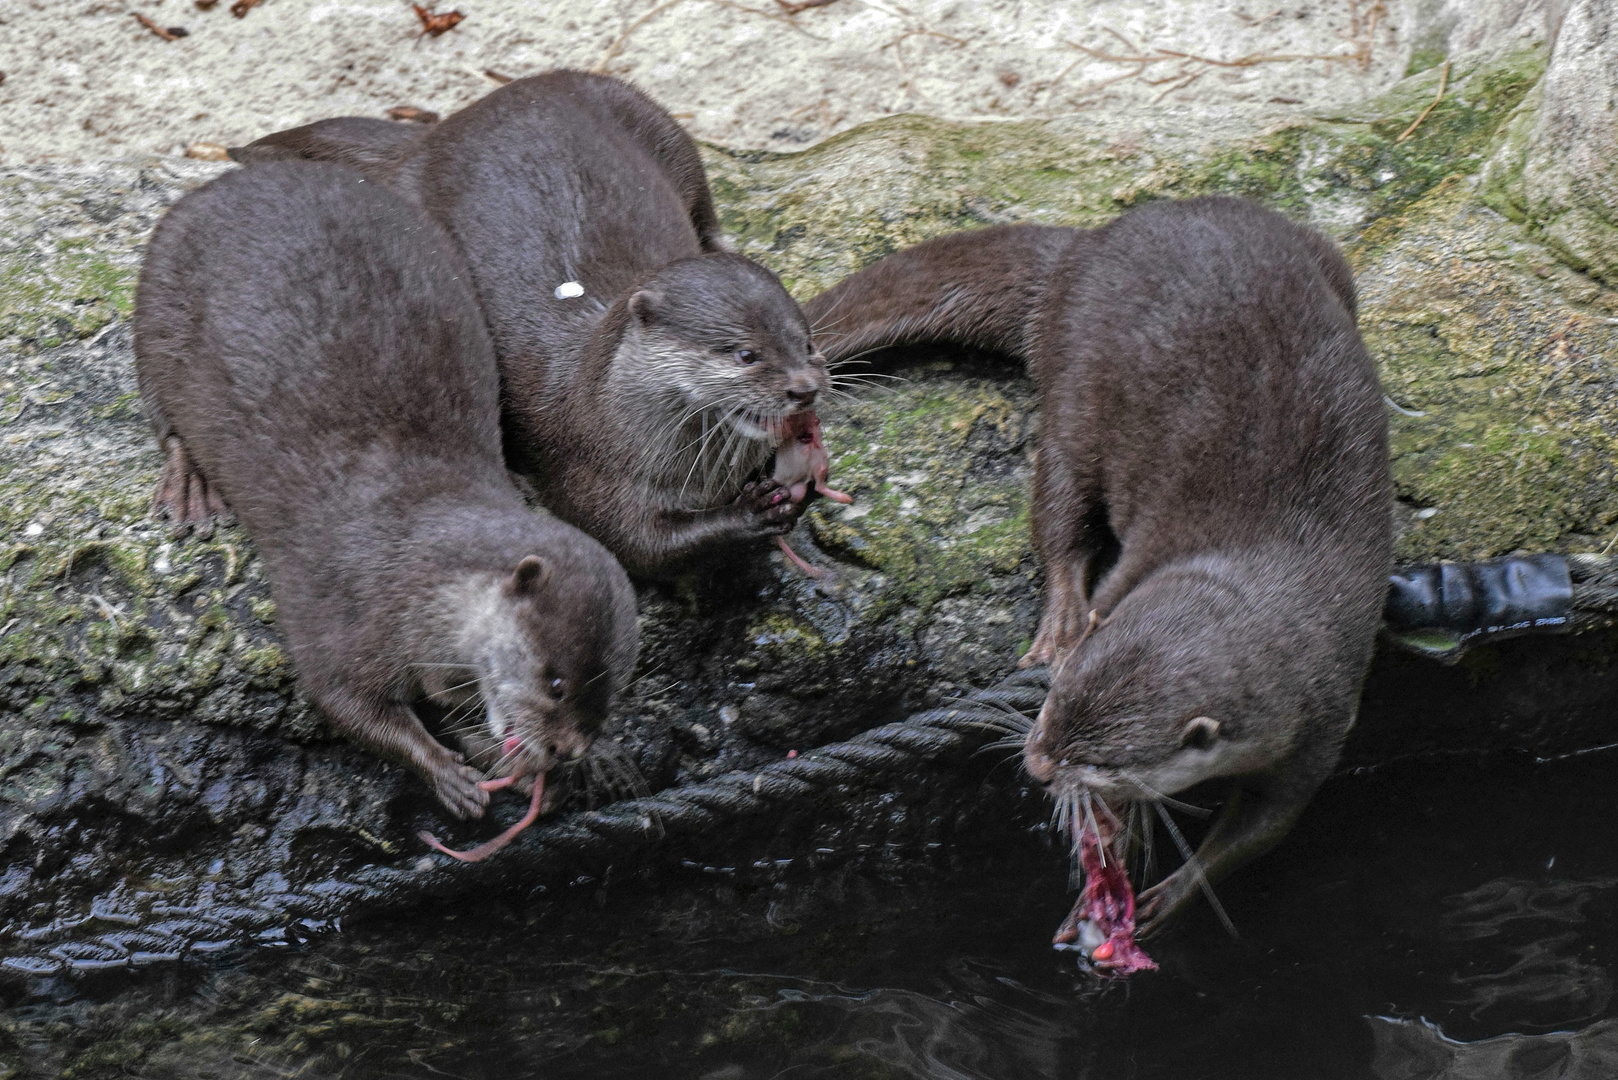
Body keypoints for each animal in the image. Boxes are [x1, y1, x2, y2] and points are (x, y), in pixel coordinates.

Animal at [134, 160, 637, 819]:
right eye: (555, 681)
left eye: (612, 689)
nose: (569, 750)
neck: (415, 572)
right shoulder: (345, 607)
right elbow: (341, 699)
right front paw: (444, 772)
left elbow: (452, 703)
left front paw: (536, 762)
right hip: (157, 309)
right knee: (163, 412)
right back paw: (190, 488)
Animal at [231, 71, 834, 579]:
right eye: (745, 355)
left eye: (806, 343)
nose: (804, 388)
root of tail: (434, 133)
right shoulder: (594, 475)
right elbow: (639, 547)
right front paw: (754, 511)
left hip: (653, 119)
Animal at [802, 198, 1385, 939]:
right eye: (1052, 701)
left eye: (1101, 761)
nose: (1037, 764)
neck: (1264, 567)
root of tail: (1090, 246)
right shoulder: (1136, 576)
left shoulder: (1324, 712)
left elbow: (1266, 825)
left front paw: (1170, 893)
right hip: (1080, 380)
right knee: (1058, 505)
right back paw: (1060, 621)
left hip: (1325, 263)